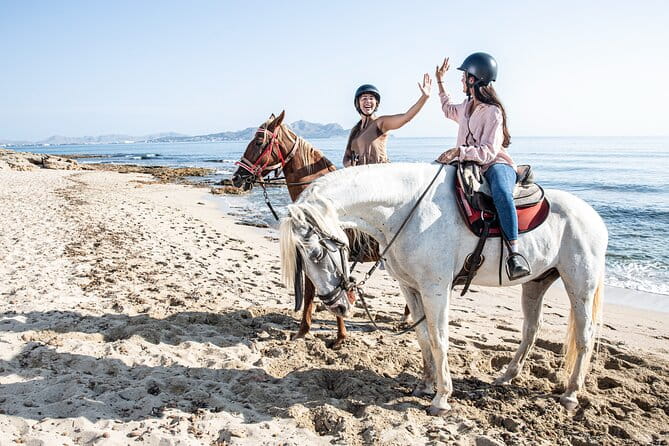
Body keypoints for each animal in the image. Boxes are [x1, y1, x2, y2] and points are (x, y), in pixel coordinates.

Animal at [279, 162, 607, 415]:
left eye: (316, 254)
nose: (336, 304)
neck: (406, 210)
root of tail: (594, 218)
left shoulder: (435, 289)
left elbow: (439, 340)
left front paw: (441, 398)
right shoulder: (410, 287)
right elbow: (423, 337)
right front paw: (425, 385)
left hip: (580, 284)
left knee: (584, 335)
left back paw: (570, 394)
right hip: (536, 283)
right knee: (531, 329)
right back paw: (506, 377)